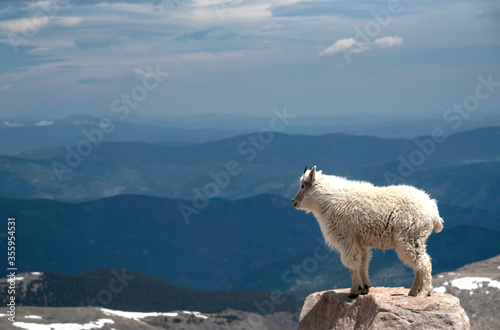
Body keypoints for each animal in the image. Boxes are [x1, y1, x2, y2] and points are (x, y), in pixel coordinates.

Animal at [292, 166, 444, 298]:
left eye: (303, 185)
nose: (294, 202)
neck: (327, 200)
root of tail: (433, 212)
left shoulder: (346, 239)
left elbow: (352, 265)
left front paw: (354, 291)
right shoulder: (360, 242)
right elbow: (363, 262)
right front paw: (364, 288)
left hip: (410, 237)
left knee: (424, 263)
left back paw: (424, 292)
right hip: (415, 239)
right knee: (419, 263)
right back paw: (413, 292)